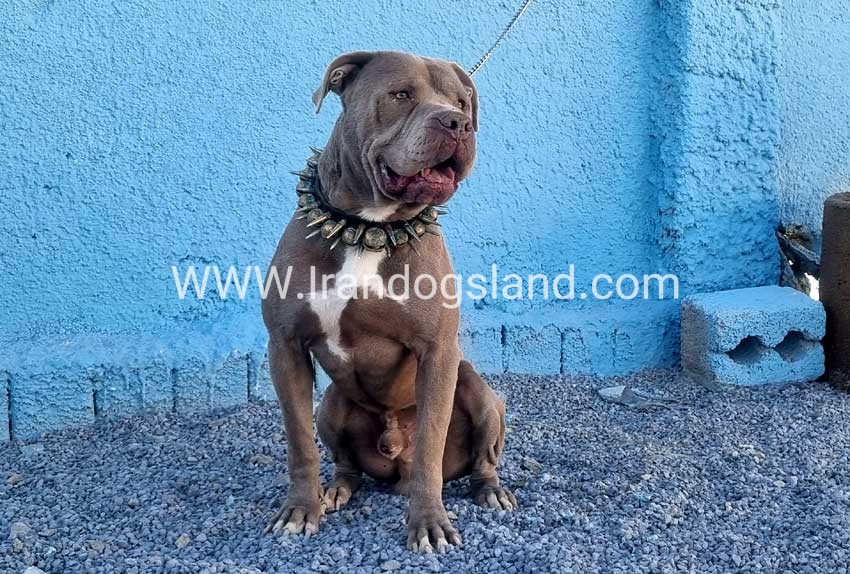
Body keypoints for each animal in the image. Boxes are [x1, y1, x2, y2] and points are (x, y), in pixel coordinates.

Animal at [262, 51, 514, 553]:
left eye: (462, 102)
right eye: (401, 95)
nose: (458, 123)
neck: (369, 225)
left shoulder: (437, 353)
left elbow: (431, 448)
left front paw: (430, 523)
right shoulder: (285, 347)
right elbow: (299, 443)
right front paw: (300, 510)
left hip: (478, 390)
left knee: (481, 457)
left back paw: (491, 491)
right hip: (331, 405)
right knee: (346, 463)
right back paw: (335, 490)